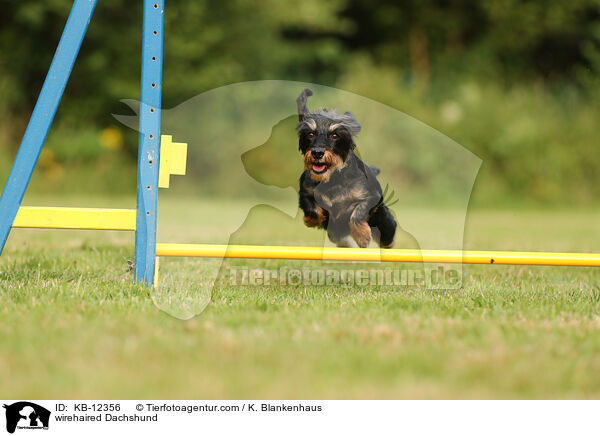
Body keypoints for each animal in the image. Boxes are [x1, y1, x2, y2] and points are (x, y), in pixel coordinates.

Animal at [296, 88, 398, 249]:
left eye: (335, 135)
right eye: (310, 134)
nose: (317, 153)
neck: (332, 179)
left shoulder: (371, 196)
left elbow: (358, 212)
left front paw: (362, 236)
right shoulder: (306, 191)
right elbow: (312, 209)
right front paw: (311, 221)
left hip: (384, 222)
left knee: (388, 237)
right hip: (335, 233)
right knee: (340, 238)